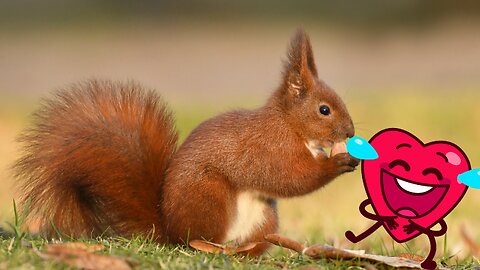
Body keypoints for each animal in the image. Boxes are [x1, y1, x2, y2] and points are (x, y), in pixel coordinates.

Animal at [13, 29, 360, 255]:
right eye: (324, 110)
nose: (349, 133)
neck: (289, 125)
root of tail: (169, 229)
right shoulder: (269, 149)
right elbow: (290, 177)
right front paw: (338, 162)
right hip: (209, 196)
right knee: (195, 240)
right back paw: (210, 246)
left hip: (265, 215)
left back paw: (248, 250)